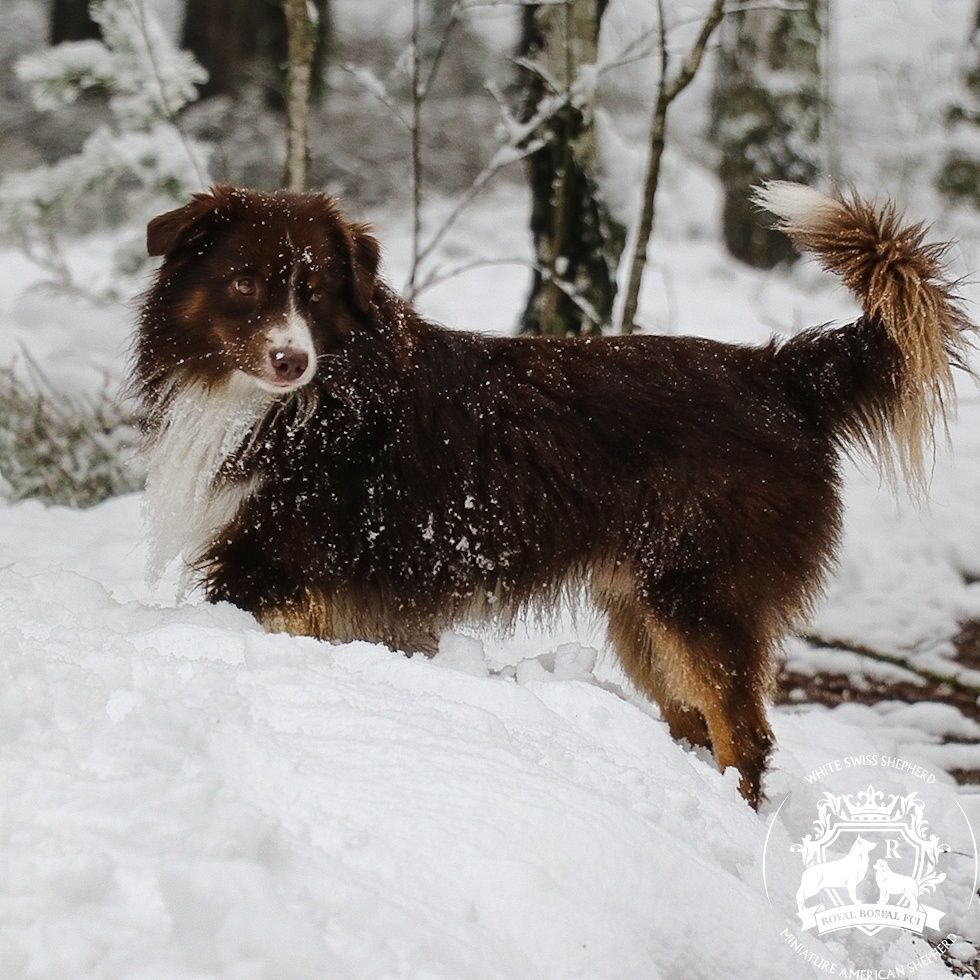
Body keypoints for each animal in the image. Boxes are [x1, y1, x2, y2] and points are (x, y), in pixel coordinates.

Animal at [136, 182, 972, 804]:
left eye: (312, 292)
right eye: (244, 281)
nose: (290, 360)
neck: (303, 401)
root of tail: (779, 376)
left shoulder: (269, 569)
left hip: (703, 600)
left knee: (748, 737)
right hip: (646, 617)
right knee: (699, 725)